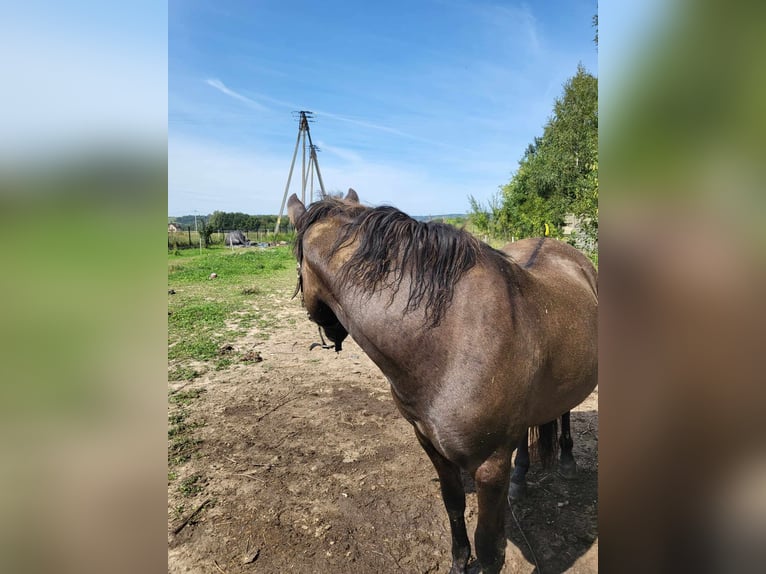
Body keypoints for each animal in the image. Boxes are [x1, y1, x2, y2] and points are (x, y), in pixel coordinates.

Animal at [290, 191, 600, 572]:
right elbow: (453, 506)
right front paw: (459, 561)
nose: (331, 334)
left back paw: (568, 462)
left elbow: (490, 546)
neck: (450, 340)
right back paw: (521, 476)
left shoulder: (490, 466)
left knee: (565, 411)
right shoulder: (431, 445)